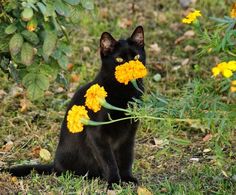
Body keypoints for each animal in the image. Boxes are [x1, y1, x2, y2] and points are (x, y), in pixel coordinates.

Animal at [2, 25, 145, 187]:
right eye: (119, 59)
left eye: (136, 57)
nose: (132, 68)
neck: (125, 92)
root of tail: (55, 164)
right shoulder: (97, 134)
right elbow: (109, 162)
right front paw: (114, 182)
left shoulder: (129, 134)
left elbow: (127, 157)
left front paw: (128, 178)